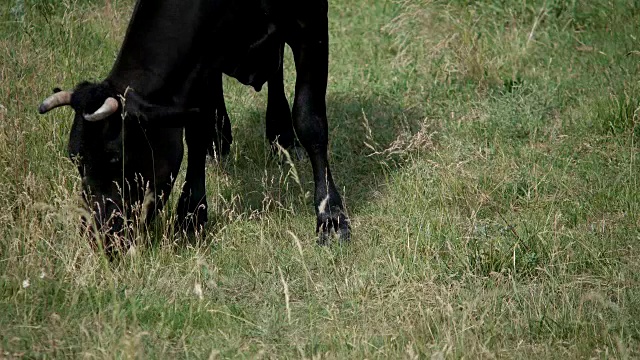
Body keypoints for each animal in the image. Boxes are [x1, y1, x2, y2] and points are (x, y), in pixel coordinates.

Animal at [37, 0, 350, 253]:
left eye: (116, 158)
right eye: (75, 159)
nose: (99, 237)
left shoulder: (311, 23)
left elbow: (309, 121)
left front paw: (331, 218)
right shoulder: (203, 58)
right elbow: (197, 129)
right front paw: (191, 214)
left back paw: (282, 138)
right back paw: (223, 143)